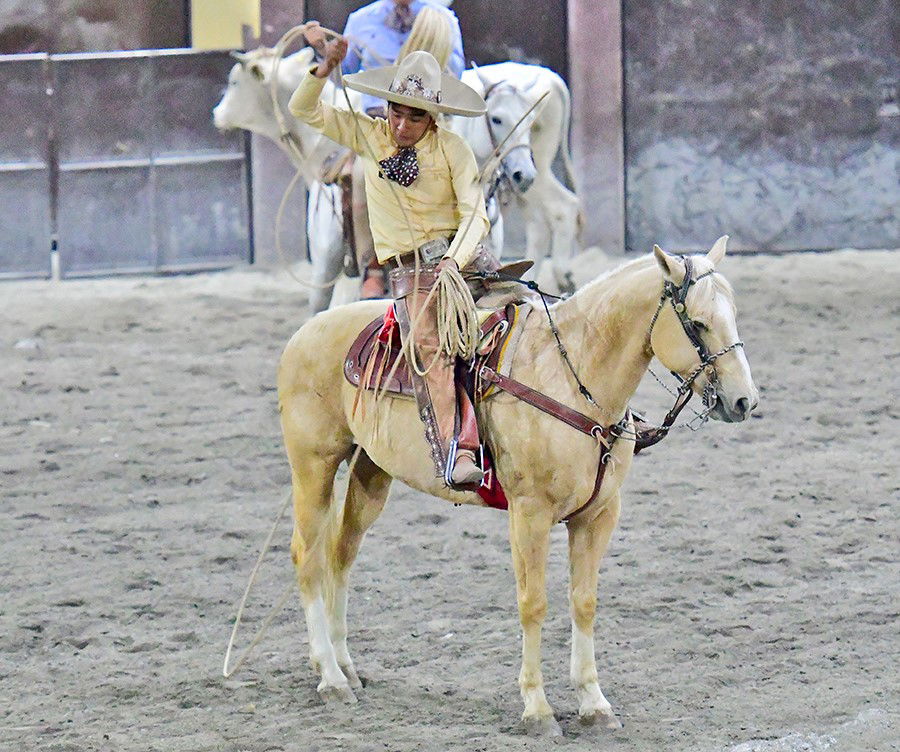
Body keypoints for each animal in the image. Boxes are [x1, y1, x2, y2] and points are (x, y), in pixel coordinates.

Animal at [278, 239, 756, 736]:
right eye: (697, 322)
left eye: (733, 314)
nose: (744, 400)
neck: (570, 378)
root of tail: (305, 333)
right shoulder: (530, 514)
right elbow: (534, 603)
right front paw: (537, 708)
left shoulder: (599, 516)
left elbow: (584, 602)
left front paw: (594, 702)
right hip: (313, 467)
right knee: (307, 557)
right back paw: (331, 678)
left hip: (371, 473)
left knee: (341, 553)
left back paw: (345, 666)